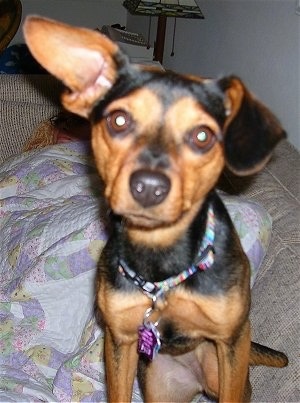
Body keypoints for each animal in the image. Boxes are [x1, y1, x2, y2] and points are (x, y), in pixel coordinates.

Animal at [25, 16, 288, 403]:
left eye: (203, 136)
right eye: (118, 120)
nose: (148, 187)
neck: (161, 259)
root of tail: (194, 380)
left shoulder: (231, 341)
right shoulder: (120, 341)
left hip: (222, 369)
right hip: (158, 384)